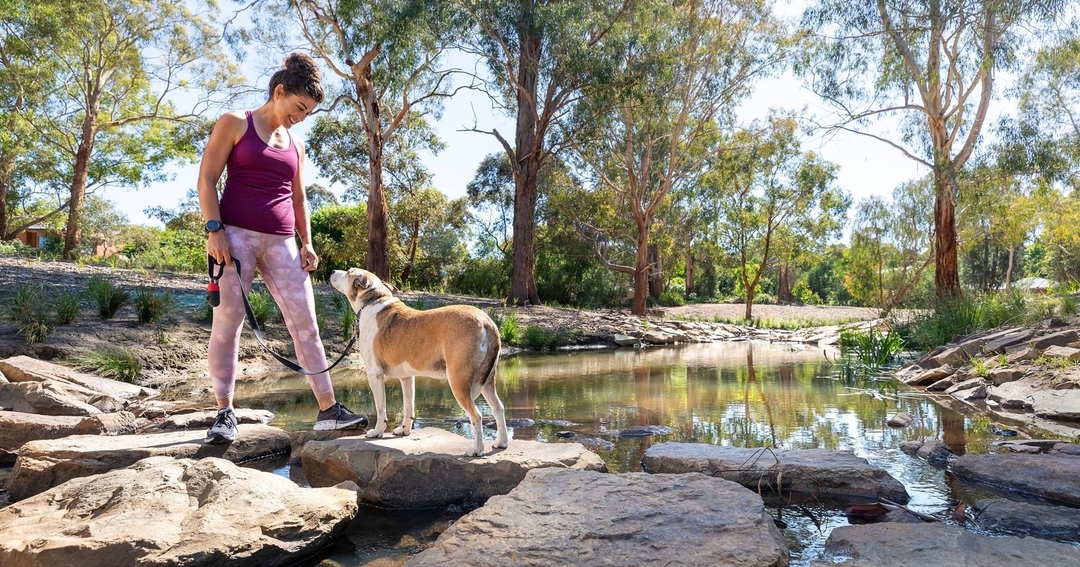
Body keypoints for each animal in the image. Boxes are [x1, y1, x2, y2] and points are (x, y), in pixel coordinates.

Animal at [326, 265, 507, 455]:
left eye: (349, 272)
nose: (332, 271)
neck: (374, 300)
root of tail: (486, 321)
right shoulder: (406, 378)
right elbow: (408, 406)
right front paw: (404, 430)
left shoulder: (374, 375)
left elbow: (381, 408)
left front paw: (377, 432)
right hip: (487, 380)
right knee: (498, 408)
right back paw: (501, 443)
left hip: (459, 381)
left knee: (476, 415)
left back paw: (476, 450)